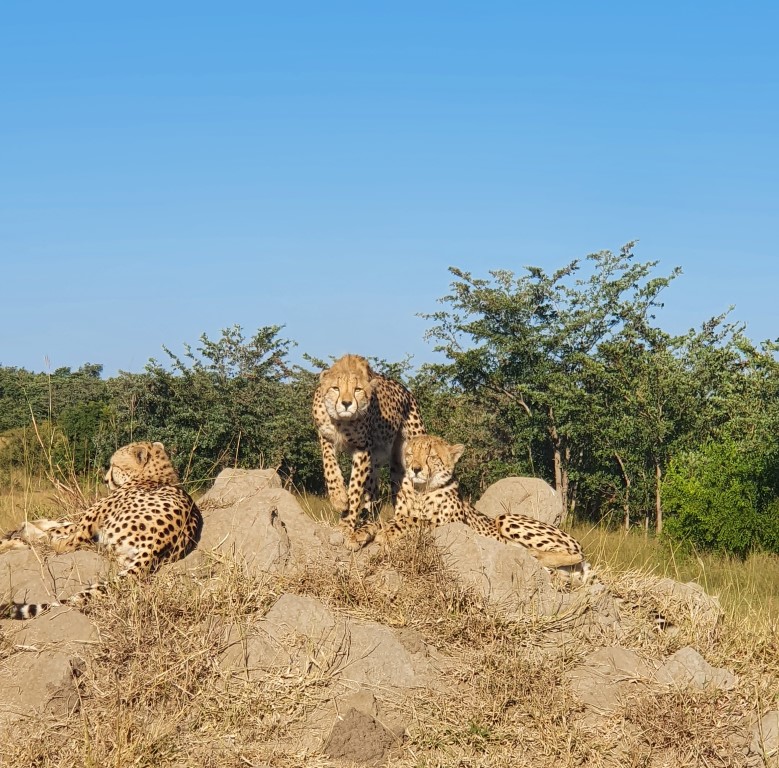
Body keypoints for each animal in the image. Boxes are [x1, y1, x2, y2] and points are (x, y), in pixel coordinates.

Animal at [0, 440, 204, 616]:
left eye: (114, 466)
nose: (105, 480)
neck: (156, 475)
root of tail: (155, 547)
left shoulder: (91, 519)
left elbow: (62, 529)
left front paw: (24, 532)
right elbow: (61, 522)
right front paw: (32, 525)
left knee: (65, 543)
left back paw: (26, 536)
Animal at [312, 352, 426, 528]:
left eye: (357, 389)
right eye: (335, 388)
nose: (346, 403)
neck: (342, 422)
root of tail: (408, 392)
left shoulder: (363, 448)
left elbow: (355, 487)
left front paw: (346, 522)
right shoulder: (325, 437)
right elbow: (329, 465)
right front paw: (338, 497)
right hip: (390, 465)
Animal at [350, 436, 596, 580]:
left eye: (431, 456)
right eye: (410, 454)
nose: (415, 469)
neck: (421, 490)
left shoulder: (451, 522)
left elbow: (414, 520)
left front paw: (387, 532)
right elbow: (379, 521)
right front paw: (358, 534)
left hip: (506, 518)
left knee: (576, 553)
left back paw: (530, 552)